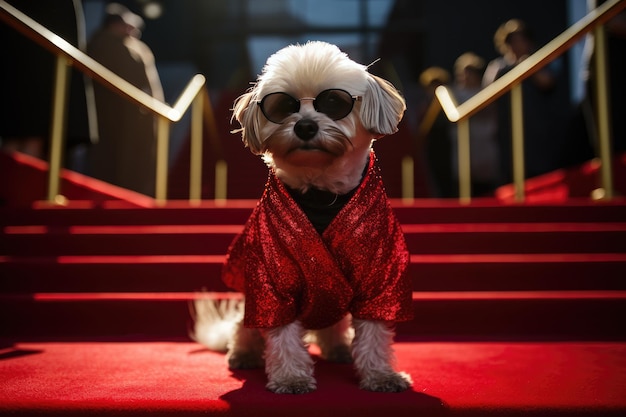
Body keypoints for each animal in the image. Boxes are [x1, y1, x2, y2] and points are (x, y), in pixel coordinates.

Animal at [193, 41, 412, 394]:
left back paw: (338, 348)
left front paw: (380, 375)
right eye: (282, 106)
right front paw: (291, 377)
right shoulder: (272, 283)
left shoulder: (380, 278)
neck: (320, 192)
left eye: (334, 102)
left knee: (333, 327)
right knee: (244, 328)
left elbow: (374, 333)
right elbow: (282, 335)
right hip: (253, 303)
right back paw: (243, 354)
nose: (305, 126)